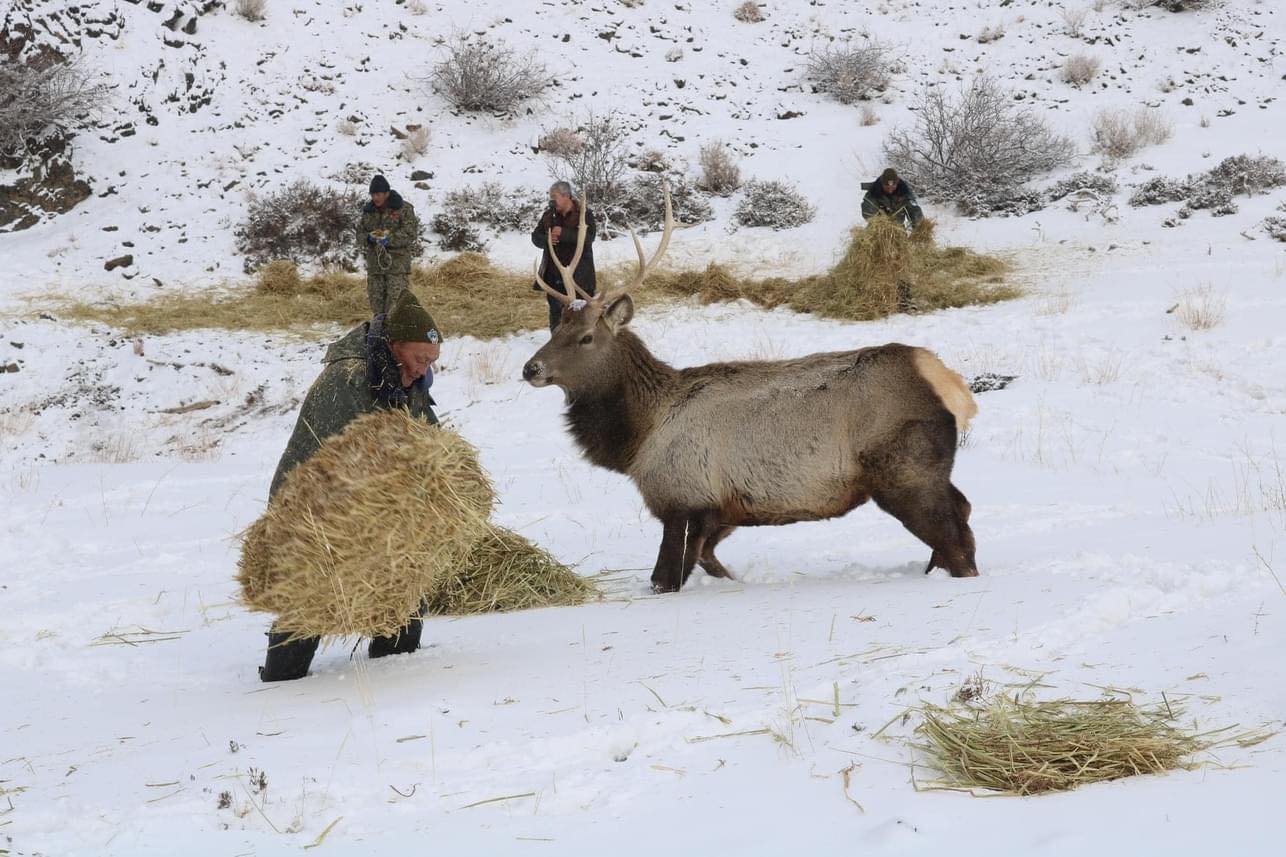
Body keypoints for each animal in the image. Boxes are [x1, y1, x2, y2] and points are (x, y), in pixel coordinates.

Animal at [516, 190, 977, 591]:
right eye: (557, 328)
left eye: (586, 337)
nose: (530, 368)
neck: (636, 438)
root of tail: (950, 385)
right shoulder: (720, 510)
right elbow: (708, 560)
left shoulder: (680, 497)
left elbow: (664, 580)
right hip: (927, 471)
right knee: (963, 514)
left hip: (906, 471)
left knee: (956, 541)